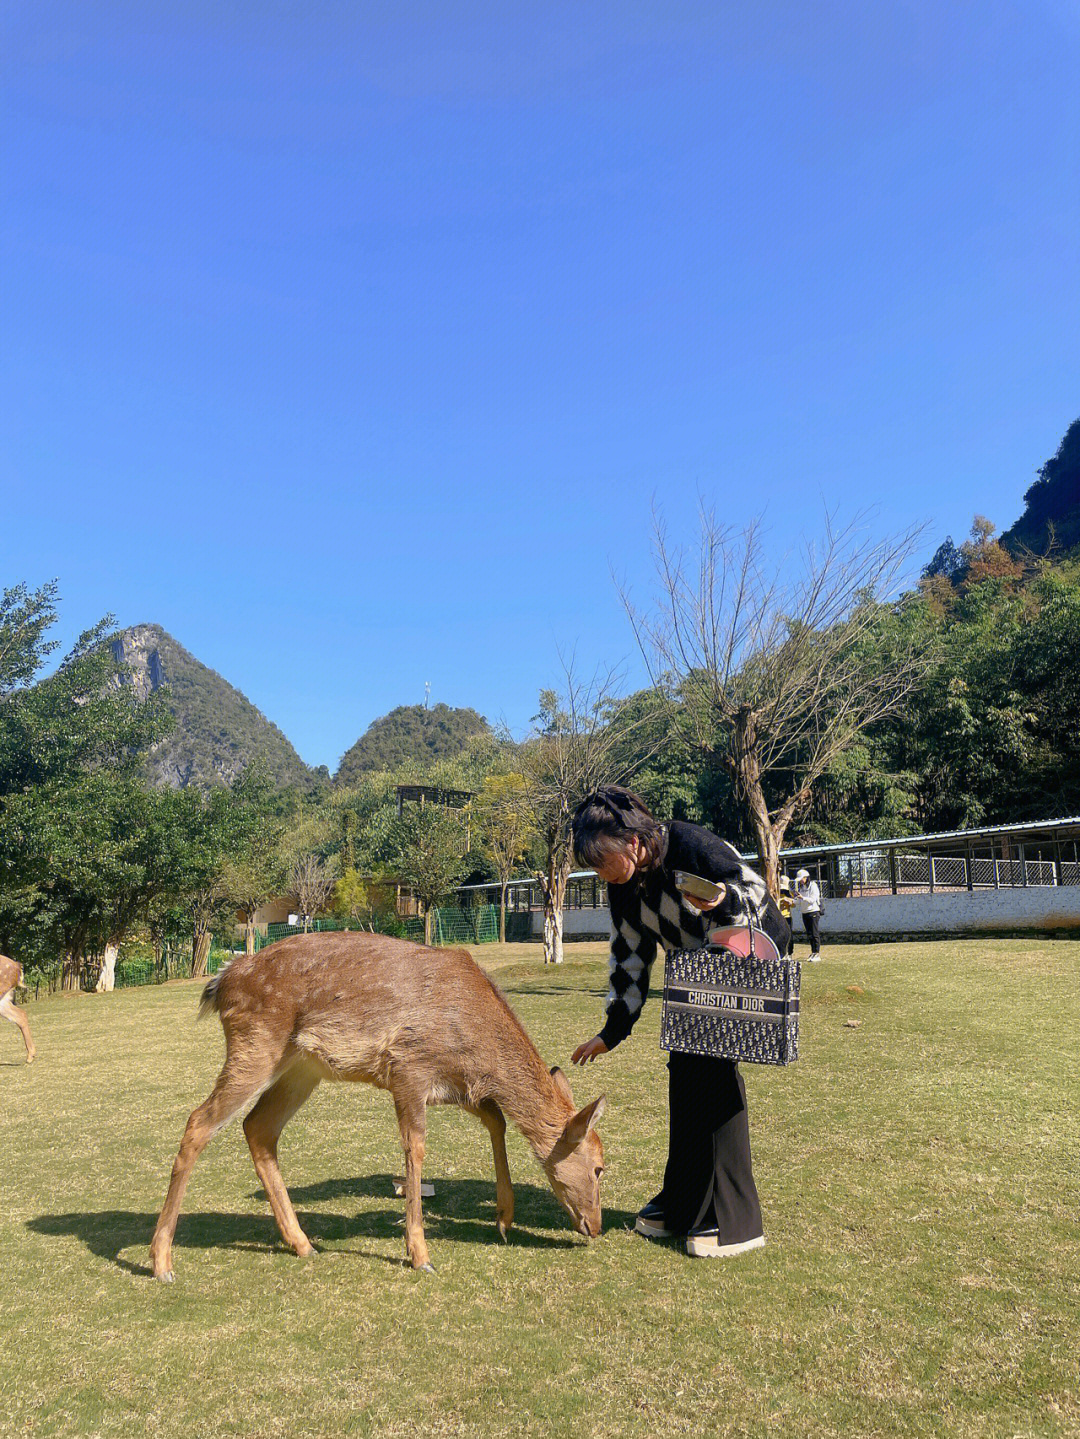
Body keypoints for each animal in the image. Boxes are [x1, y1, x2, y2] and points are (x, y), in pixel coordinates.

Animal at [150, 932, 609, 1283]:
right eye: (600, 1167)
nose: (598, 1227)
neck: (477, 1047)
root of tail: (221, 982)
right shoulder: (408, 1068)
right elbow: (416, 1149)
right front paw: (420, 1255)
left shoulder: (454, 1087)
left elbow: (497, 1120)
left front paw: (504, 1219)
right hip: (255, 1044)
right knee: (198, 1122)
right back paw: (161, 1263)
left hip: (301, 1069)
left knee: (258, 1127)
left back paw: (303, 1243)